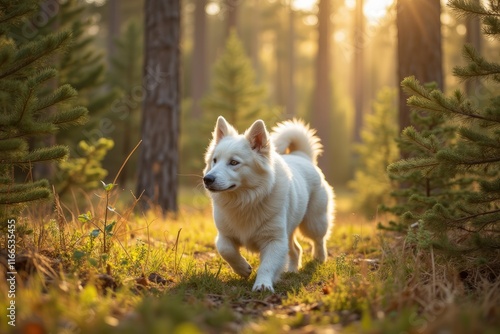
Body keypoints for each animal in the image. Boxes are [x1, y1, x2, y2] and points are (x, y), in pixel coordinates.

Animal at [203, 116, 336, 290]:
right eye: (214, 160)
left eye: (234, 162)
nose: (207, 179)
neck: (245, 201)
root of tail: (302, 156)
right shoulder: (225, 235)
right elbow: (226, 251)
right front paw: (243, 269)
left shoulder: (274, 240)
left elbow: (267, 265)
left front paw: (263, 285)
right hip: (290, 230)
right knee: (296, 249)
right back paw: (291, 271)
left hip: (313, 223)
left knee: (319, 240)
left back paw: (319, 259)